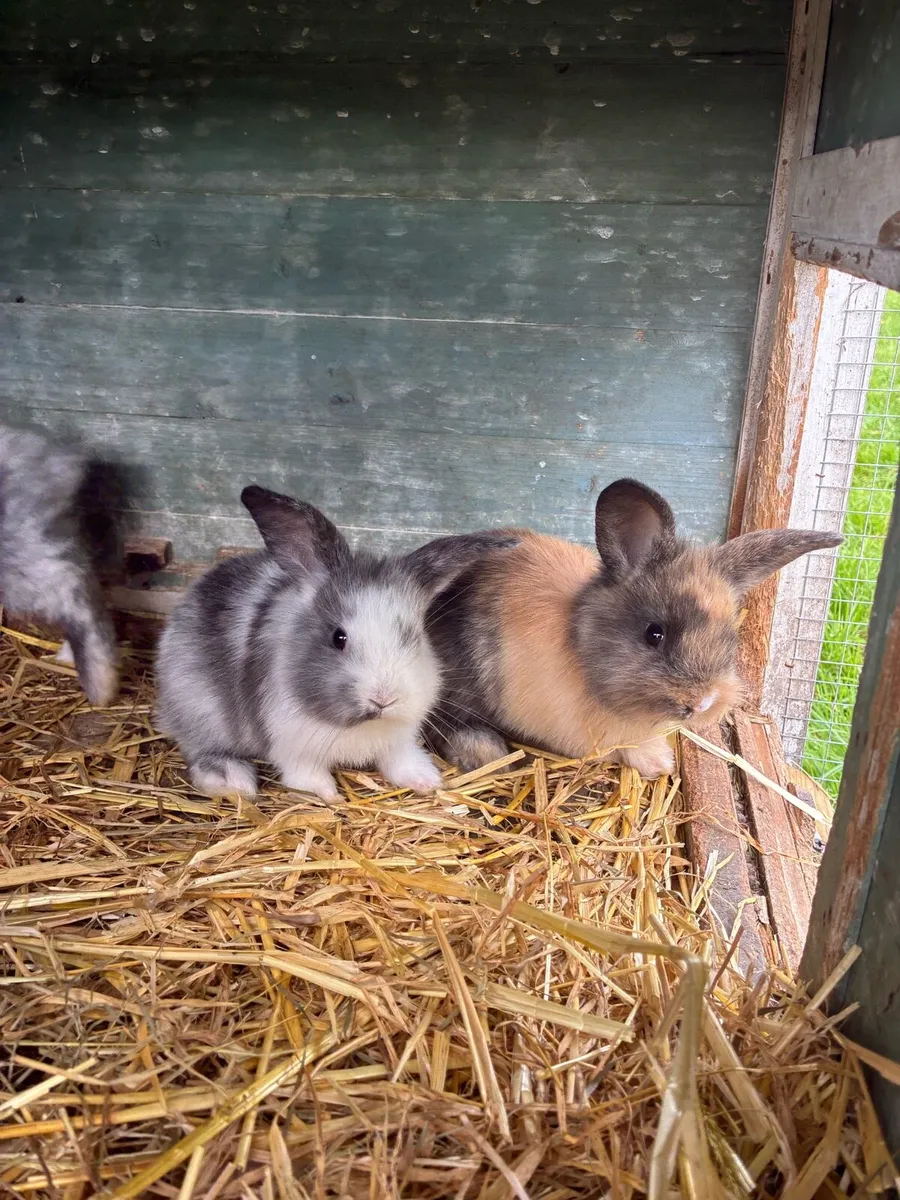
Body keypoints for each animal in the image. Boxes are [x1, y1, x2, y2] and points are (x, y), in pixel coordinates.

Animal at [155, 483, 519, 801]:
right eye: (338, 637)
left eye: (412, 636)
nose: (383, 699)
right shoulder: (293, 747)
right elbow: (308, 777)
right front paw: (331, 797)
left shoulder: (399, 740)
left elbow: (402, 763)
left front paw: (428, 783)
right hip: (200, 712)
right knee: (202, 752)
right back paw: (235, 782)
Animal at [424, 477, 842, 780]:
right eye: (654, 634)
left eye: (730, 638)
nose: (701, 703)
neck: (578, 643)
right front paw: (656, 763)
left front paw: (660, 763)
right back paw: (490, 755)